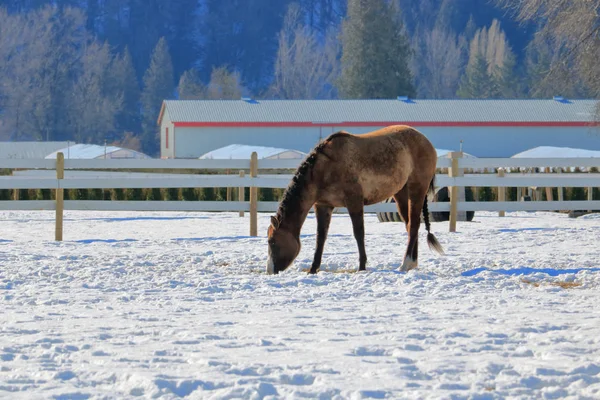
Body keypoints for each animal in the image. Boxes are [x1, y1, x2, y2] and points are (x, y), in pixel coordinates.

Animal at [268, 125, 446, 276]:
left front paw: (362, 266)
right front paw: (313, 269)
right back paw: (412, 263)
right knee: (409, 225)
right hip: (401, 193)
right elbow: (320, 237)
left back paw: (406, 263)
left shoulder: (354, 201)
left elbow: (358, 233)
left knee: (414, 224)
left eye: (272, 242)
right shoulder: (323, 206)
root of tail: (425, 141)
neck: (324, 169)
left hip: (417, 189)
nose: (270, 270)